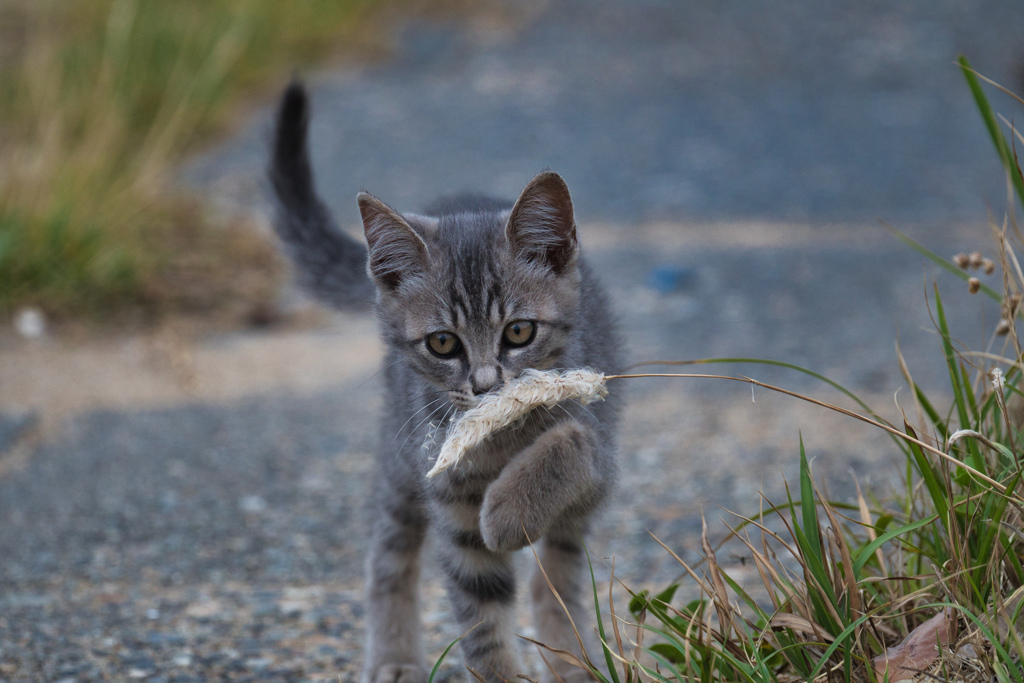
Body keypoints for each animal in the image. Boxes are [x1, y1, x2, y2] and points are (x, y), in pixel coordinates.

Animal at [268, 81, 622, 683]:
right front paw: (497, 672)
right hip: (400, 464)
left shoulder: (599, 454)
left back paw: (574, 660)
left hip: (573, 514)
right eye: (442, 344)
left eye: (519, 332)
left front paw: (508, 512)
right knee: (388, 558)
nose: (485, 387)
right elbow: (481, 616)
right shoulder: (449, 500)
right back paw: (394, 658)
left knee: (557, 577)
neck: (500, 440)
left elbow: (569, 443)